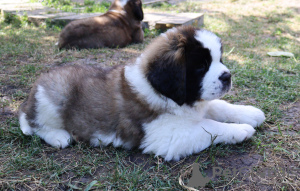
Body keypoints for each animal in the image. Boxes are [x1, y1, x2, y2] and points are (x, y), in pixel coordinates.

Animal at [19, 25, 264, 161]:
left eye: (219, 59)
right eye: (201, 67)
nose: (227, 76)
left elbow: (218, 107)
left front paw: (250, 113)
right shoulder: (166, 136)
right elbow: (209, 126)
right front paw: (241, 130)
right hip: (54, 96)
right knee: (33, 124)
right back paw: (58, 137)